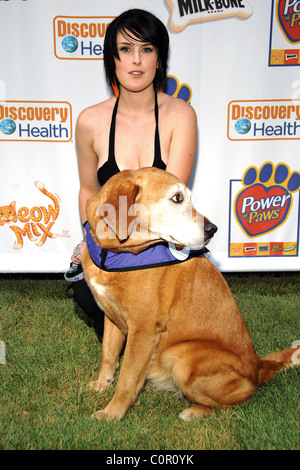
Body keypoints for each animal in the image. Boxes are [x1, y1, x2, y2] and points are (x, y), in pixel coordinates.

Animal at [81, 167, 298, 420]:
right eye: (177, 198)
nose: (213, 229)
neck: (114, 253)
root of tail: (259, 366)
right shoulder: (112, 318)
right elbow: (108, 356)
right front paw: (102, 384)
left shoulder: (144, 329)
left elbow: (127, 377)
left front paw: (112, 413)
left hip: (182, 358)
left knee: (239, 398)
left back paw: (195, 411)